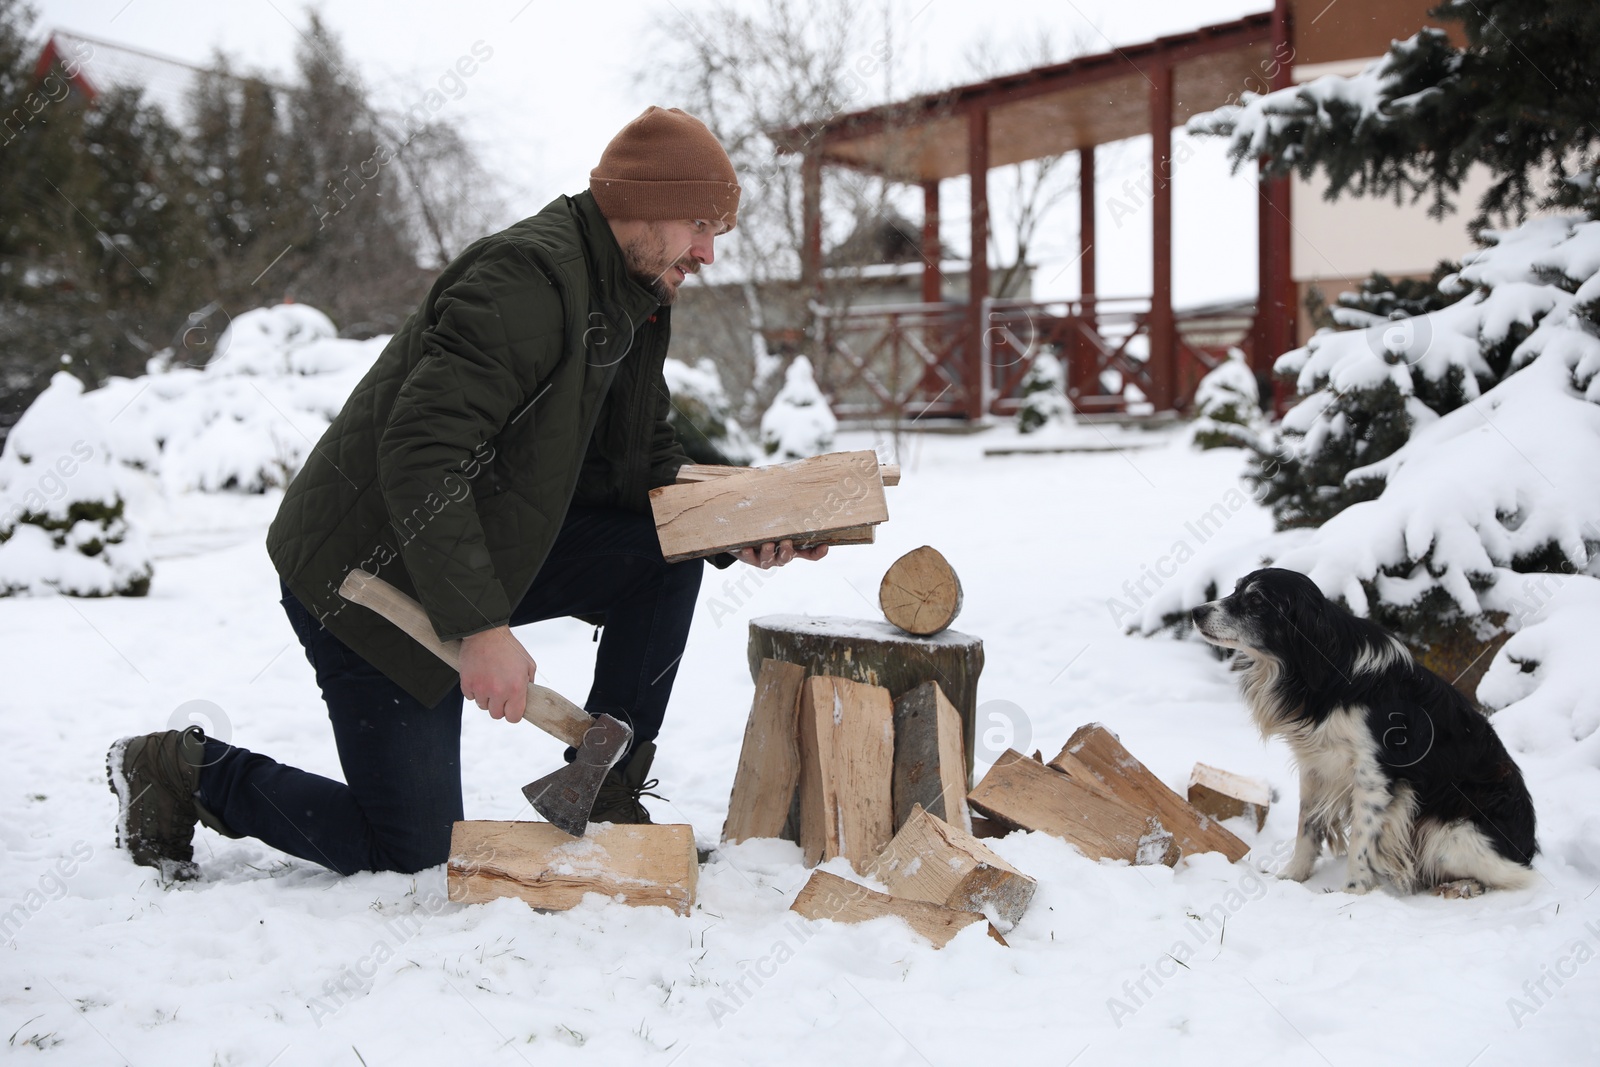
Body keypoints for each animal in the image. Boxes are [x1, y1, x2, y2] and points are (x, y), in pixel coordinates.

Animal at [1196, 572, 1529, 895]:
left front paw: (1352, 892)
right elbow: (1308, 826)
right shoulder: (1316, 767)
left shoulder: (1373, 776)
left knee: (1515, 877)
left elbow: (1362, 839)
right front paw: (1293, 877)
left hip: (1449, 837)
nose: (1196, 611)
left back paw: (1465, 885)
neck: (1331, 672)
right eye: (1236, 589)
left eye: (1256, 600)